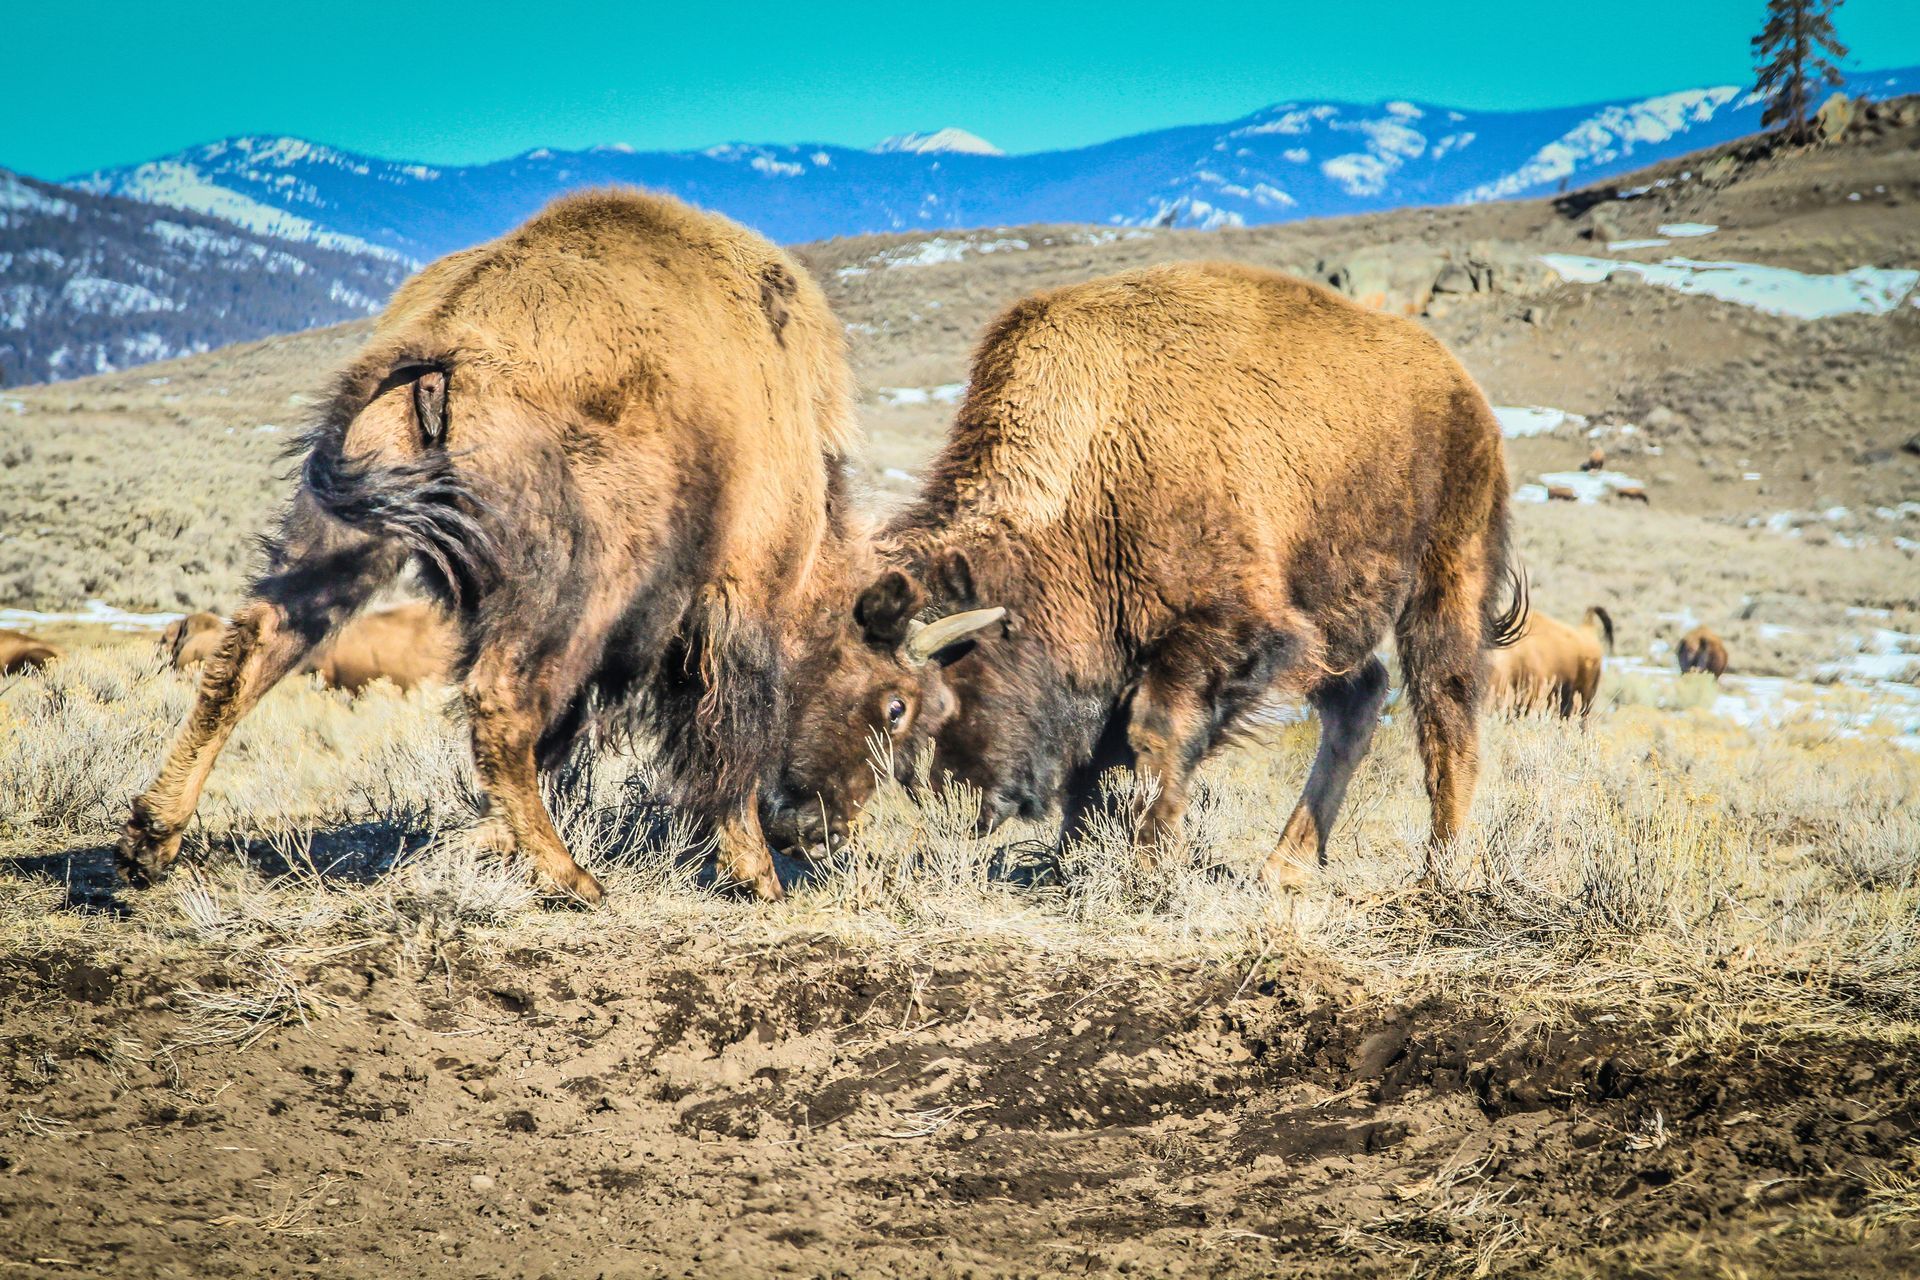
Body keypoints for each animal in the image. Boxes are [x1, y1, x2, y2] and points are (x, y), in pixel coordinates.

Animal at [119, 190, 858, 904]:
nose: (820, 829)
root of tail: (444, 334)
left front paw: (473, 845)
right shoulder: (747, 590)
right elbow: (730, 735)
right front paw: (757, 877)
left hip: (341, 538)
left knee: (251, 651)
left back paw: (149, 840)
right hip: (575, 586)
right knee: (501, 701)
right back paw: (572, 879)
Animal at [765, 262, 1524, 886]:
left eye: (896, 706)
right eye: (793, 692)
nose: (792, 821)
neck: (1091, 457)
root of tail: (1463, 391)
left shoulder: (1219, 635)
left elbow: (1155, 737)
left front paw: (1149, 858)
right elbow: (1096, 761)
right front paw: (1074, 856)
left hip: (1446, 577)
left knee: (1445, 711)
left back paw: (1441, 869)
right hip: (1335, 614)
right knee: (1359, 699)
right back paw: (1284, 866)